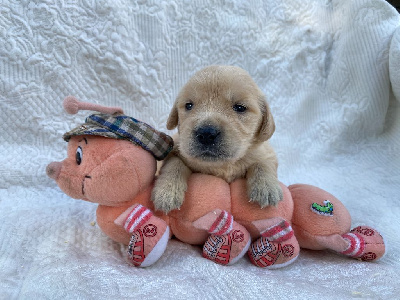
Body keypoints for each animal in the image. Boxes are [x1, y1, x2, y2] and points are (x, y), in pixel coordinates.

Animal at [152, 64, 282, 212]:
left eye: (240, 107)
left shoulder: (266, 152)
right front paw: (167, 192)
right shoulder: (176, 148)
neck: (222, 165)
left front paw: (266, 187)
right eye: (189, 105)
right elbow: (174, 164)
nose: (206, 134)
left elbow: (263, 163)